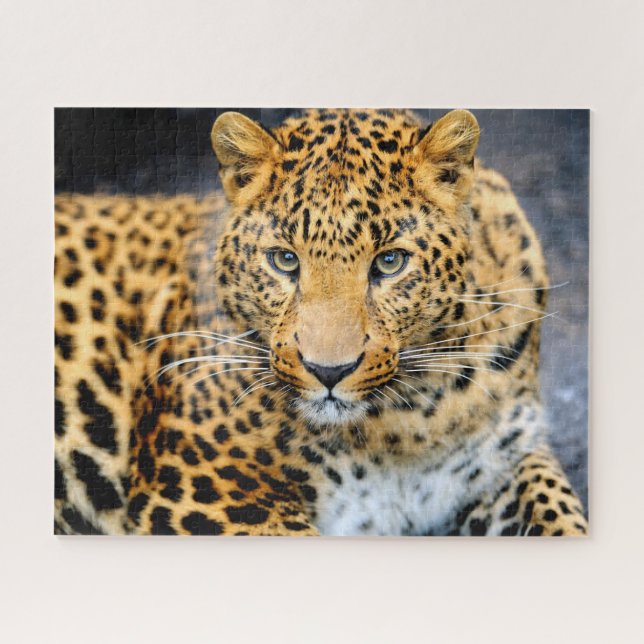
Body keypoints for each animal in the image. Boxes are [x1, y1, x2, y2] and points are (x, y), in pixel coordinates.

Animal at [54, 108, 588, 536]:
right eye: (285, 261)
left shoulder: (507, 459)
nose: (328, 372)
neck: (408, 424)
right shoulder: (207, 487)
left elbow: (562, 516)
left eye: (389, 262)